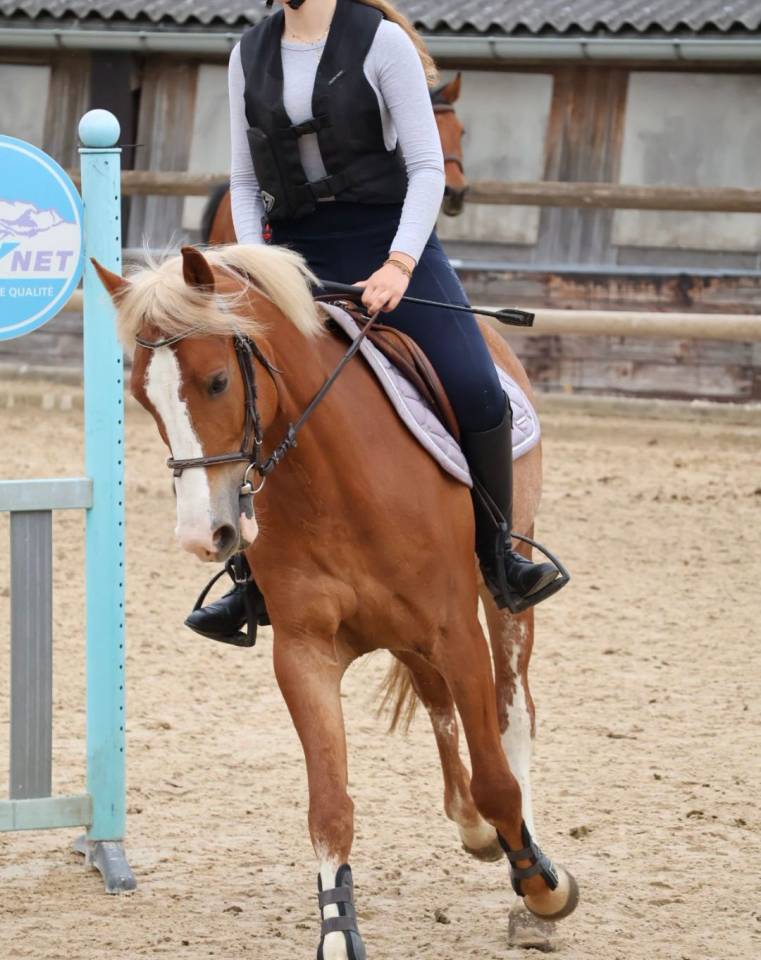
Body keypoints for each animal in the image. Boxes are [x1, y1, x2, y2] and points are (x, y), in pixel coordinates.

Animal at [93, 243, 578, 957]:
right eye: (141, 398)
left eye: (217, 382)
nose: (204, 536)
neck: (333, 480)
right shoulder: (305, 654)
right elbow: (329, 807)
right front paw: (337, 929)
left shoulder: (456, 630)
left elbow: (497, 777)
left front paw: (541, 885)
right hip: (403, 636)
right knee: (437, 705)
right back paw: (473, 828)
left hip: (501, 599)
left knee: (513, 710)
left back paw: (526, 870)